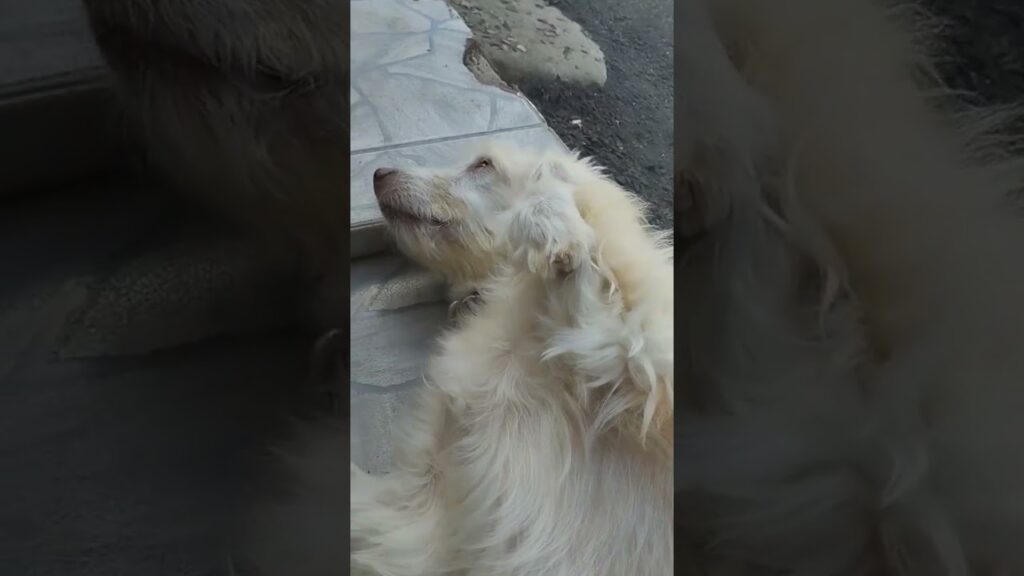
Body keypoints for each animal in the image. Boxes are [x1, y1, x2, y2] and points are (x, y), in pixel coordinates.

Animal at [348, 140, 675, 573]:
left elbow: (613, 318)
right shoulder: (425, 504)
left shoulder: (652, 357)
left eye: (484, 164)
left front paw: (551, 224)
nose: (379, 173)